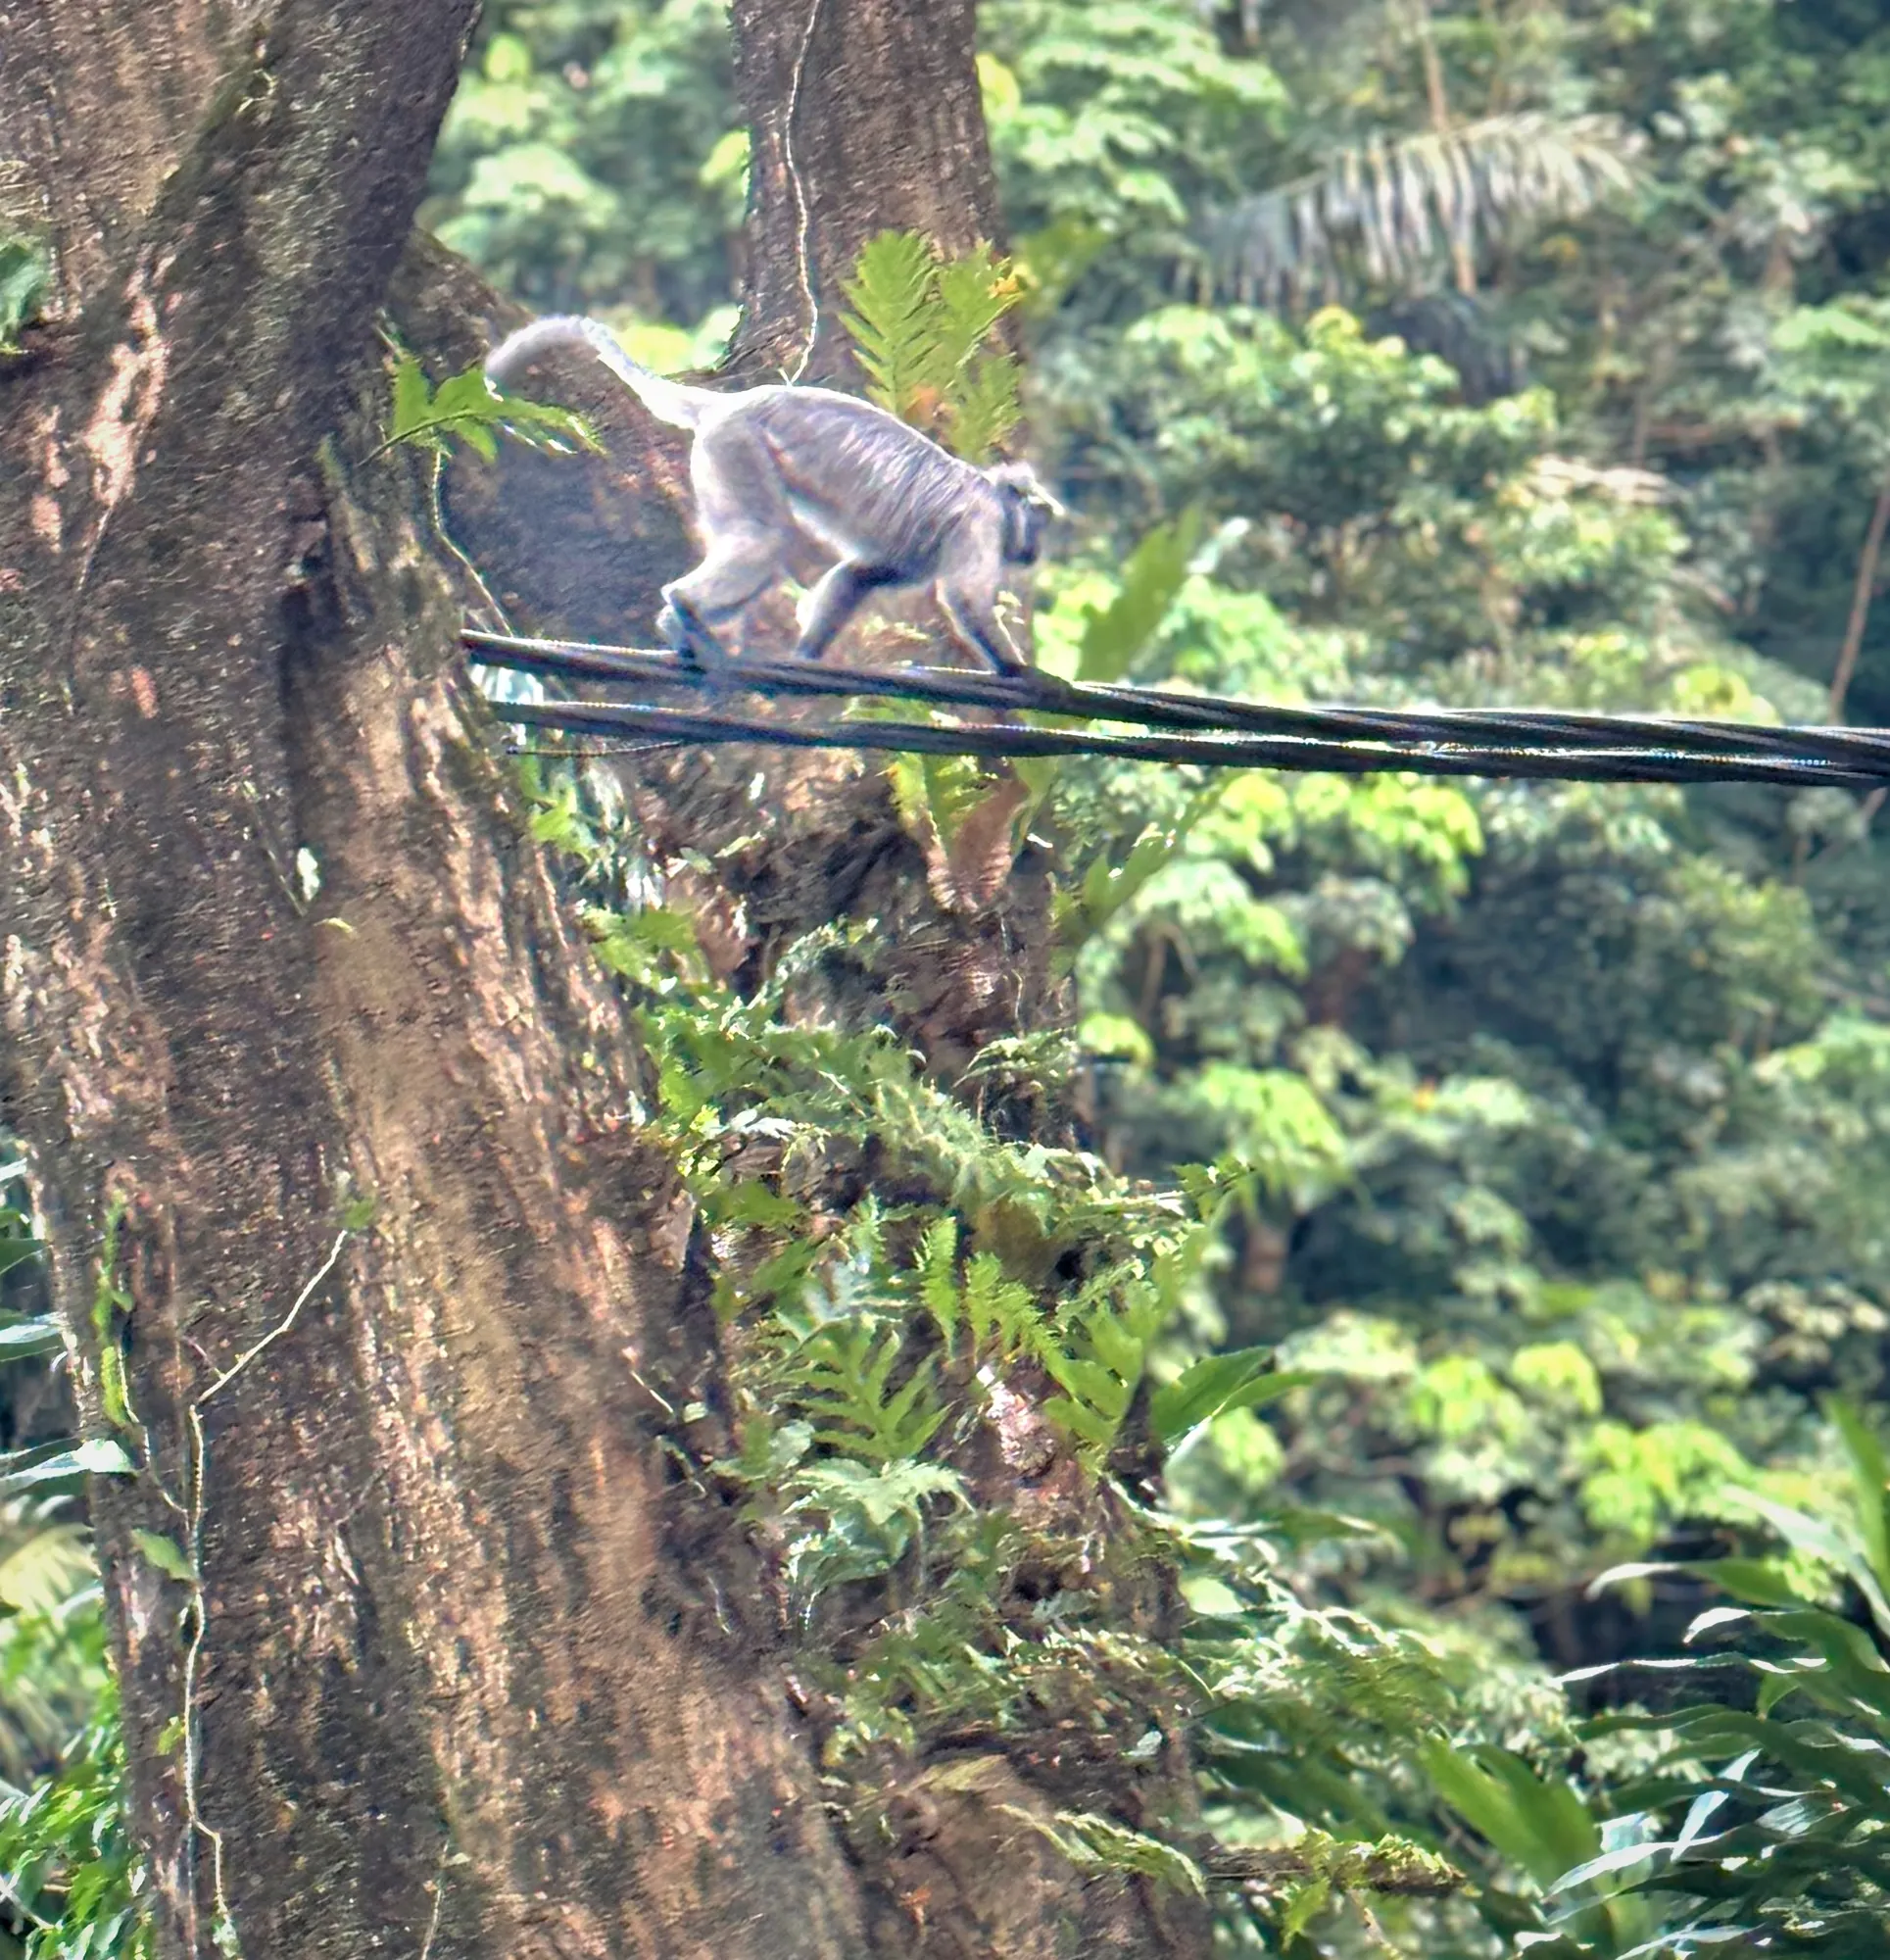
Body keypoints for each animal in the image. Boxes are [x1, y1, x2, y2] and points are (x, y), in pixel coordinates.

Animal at [484, 316, 1062, 676]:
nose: (1036, 549)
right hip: (736, 447)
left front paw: (806, 654)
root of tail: (732, 402)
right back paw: (685, 606)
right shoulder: (982, 522)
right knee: (766, 539)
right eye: (1038, 521)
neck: (988, 489)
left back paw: (679, 624)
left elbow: (857, 577)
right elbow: (965, 598)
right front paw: (1024, 674)